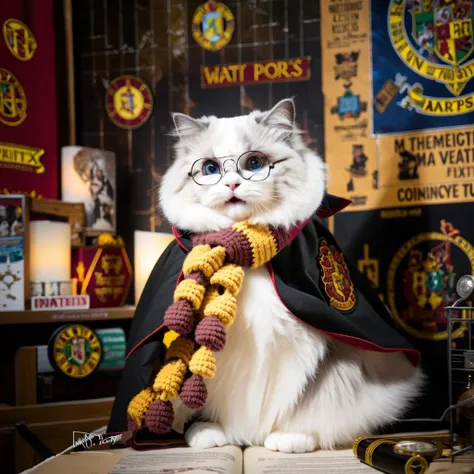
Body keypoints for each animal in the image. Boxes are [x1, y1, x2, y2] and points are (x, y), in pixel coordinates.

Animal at [157, 99, 424, 452]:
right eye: (211, 169)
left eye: (254, 163)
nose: (231, 185)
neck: (244, 255)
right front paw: (212, 431)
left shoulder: (318, 346)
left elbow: (312, 395)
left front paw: (290, 436)